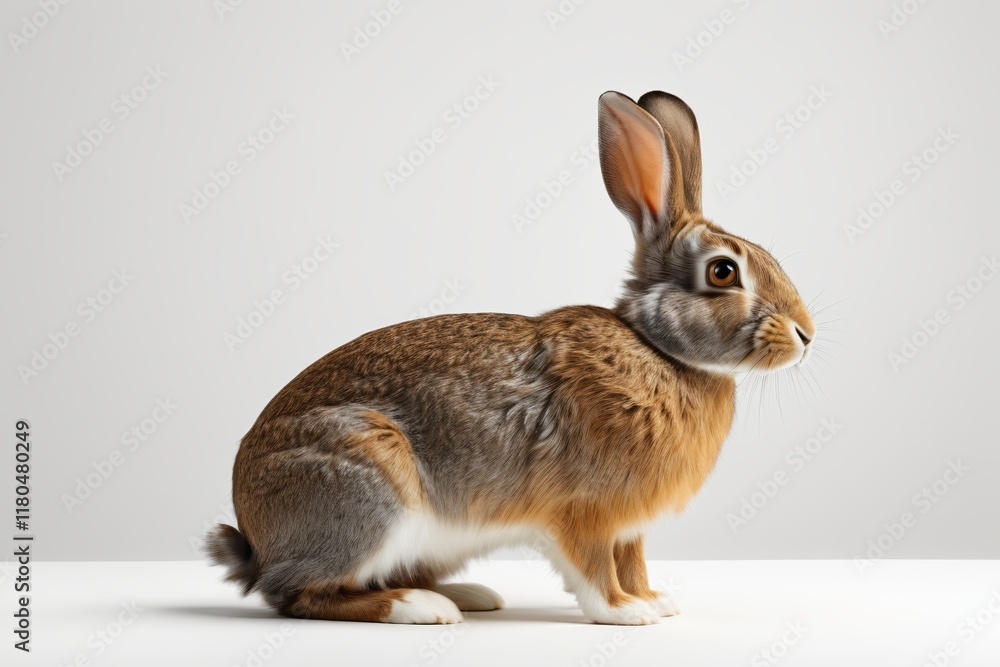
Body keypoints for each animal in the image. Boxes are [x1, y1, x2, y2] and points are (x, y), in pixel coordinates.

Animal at [206, 90, 816, 625]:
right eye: (723, 272)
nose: (806, 334)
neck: (658, 350)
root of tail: (254, 536)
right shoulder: (584, 514)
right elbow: (595, 571)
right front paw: (627, 613)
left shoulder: (629, 528)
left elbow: (632, 563)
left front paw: (654, 600)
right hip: (368, 491)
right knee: (300, 594)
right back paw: (421, 607)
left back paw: (467, 594)